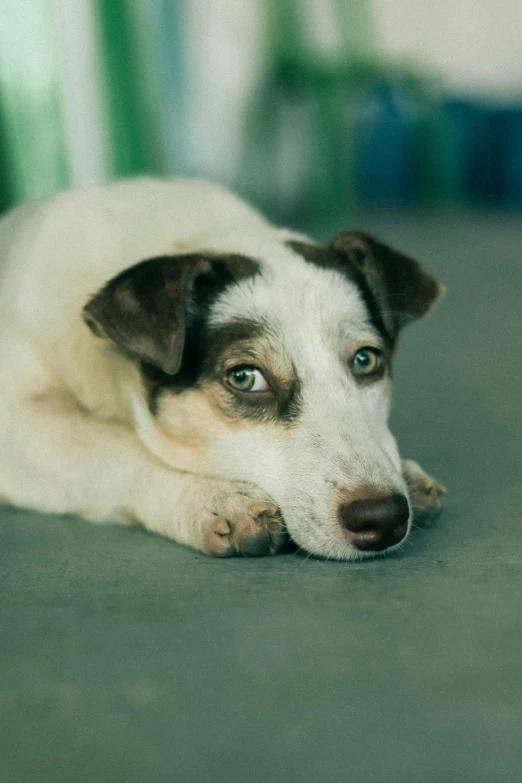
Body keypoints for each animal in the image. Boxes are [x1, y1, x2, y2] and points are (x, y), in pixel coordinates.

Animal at [0, 178, 442, 556]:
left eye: (366, 360)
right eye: (245, 378)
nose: (382, 518)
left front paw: (407, 473)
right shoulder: (17, 424)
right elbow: (116, 447)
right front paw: (212, 497)